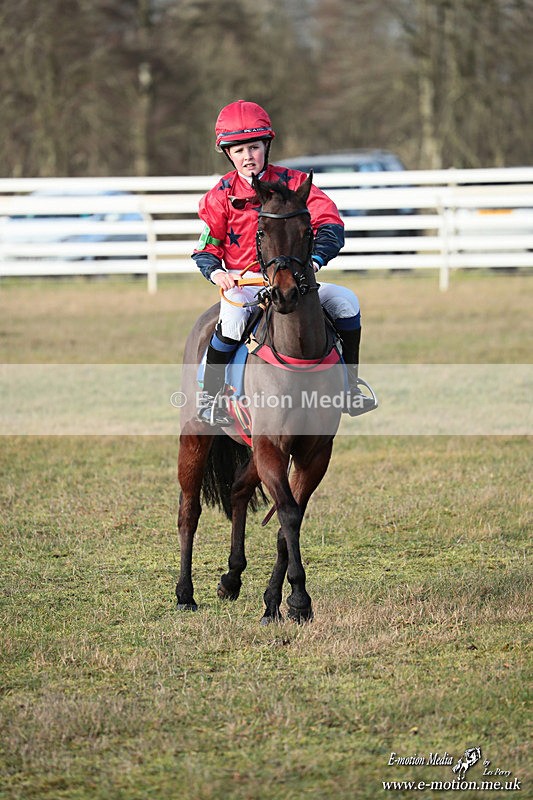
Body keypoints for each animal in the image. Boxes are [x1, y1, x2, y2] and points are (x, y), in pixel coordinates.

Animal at [176, 172, 344, 623]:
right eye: (262, 231)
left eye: (308, 230)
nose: (284, 293)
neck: (298, 355)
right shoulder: (272, 447)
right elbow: (286, 512)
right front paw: (299, 600)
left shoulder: (313, 452)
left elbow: (291, 519)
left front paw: (274, 601)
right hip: (195, 436)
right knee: (189, 510)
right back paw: (184, 593)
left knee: (236, 491)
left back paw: (232, 579)